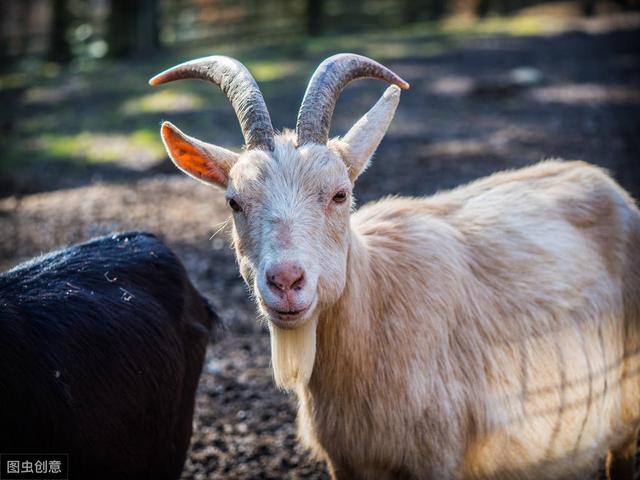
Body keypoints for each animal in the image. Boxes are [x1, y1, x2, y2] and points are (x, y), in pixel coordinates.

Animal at [151, 54, 640, 478]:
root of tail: (610, 188)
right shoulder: (345, 462)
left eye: (340, 194)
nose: (286, 281)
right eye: (234, 202)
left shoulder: (436, 460)